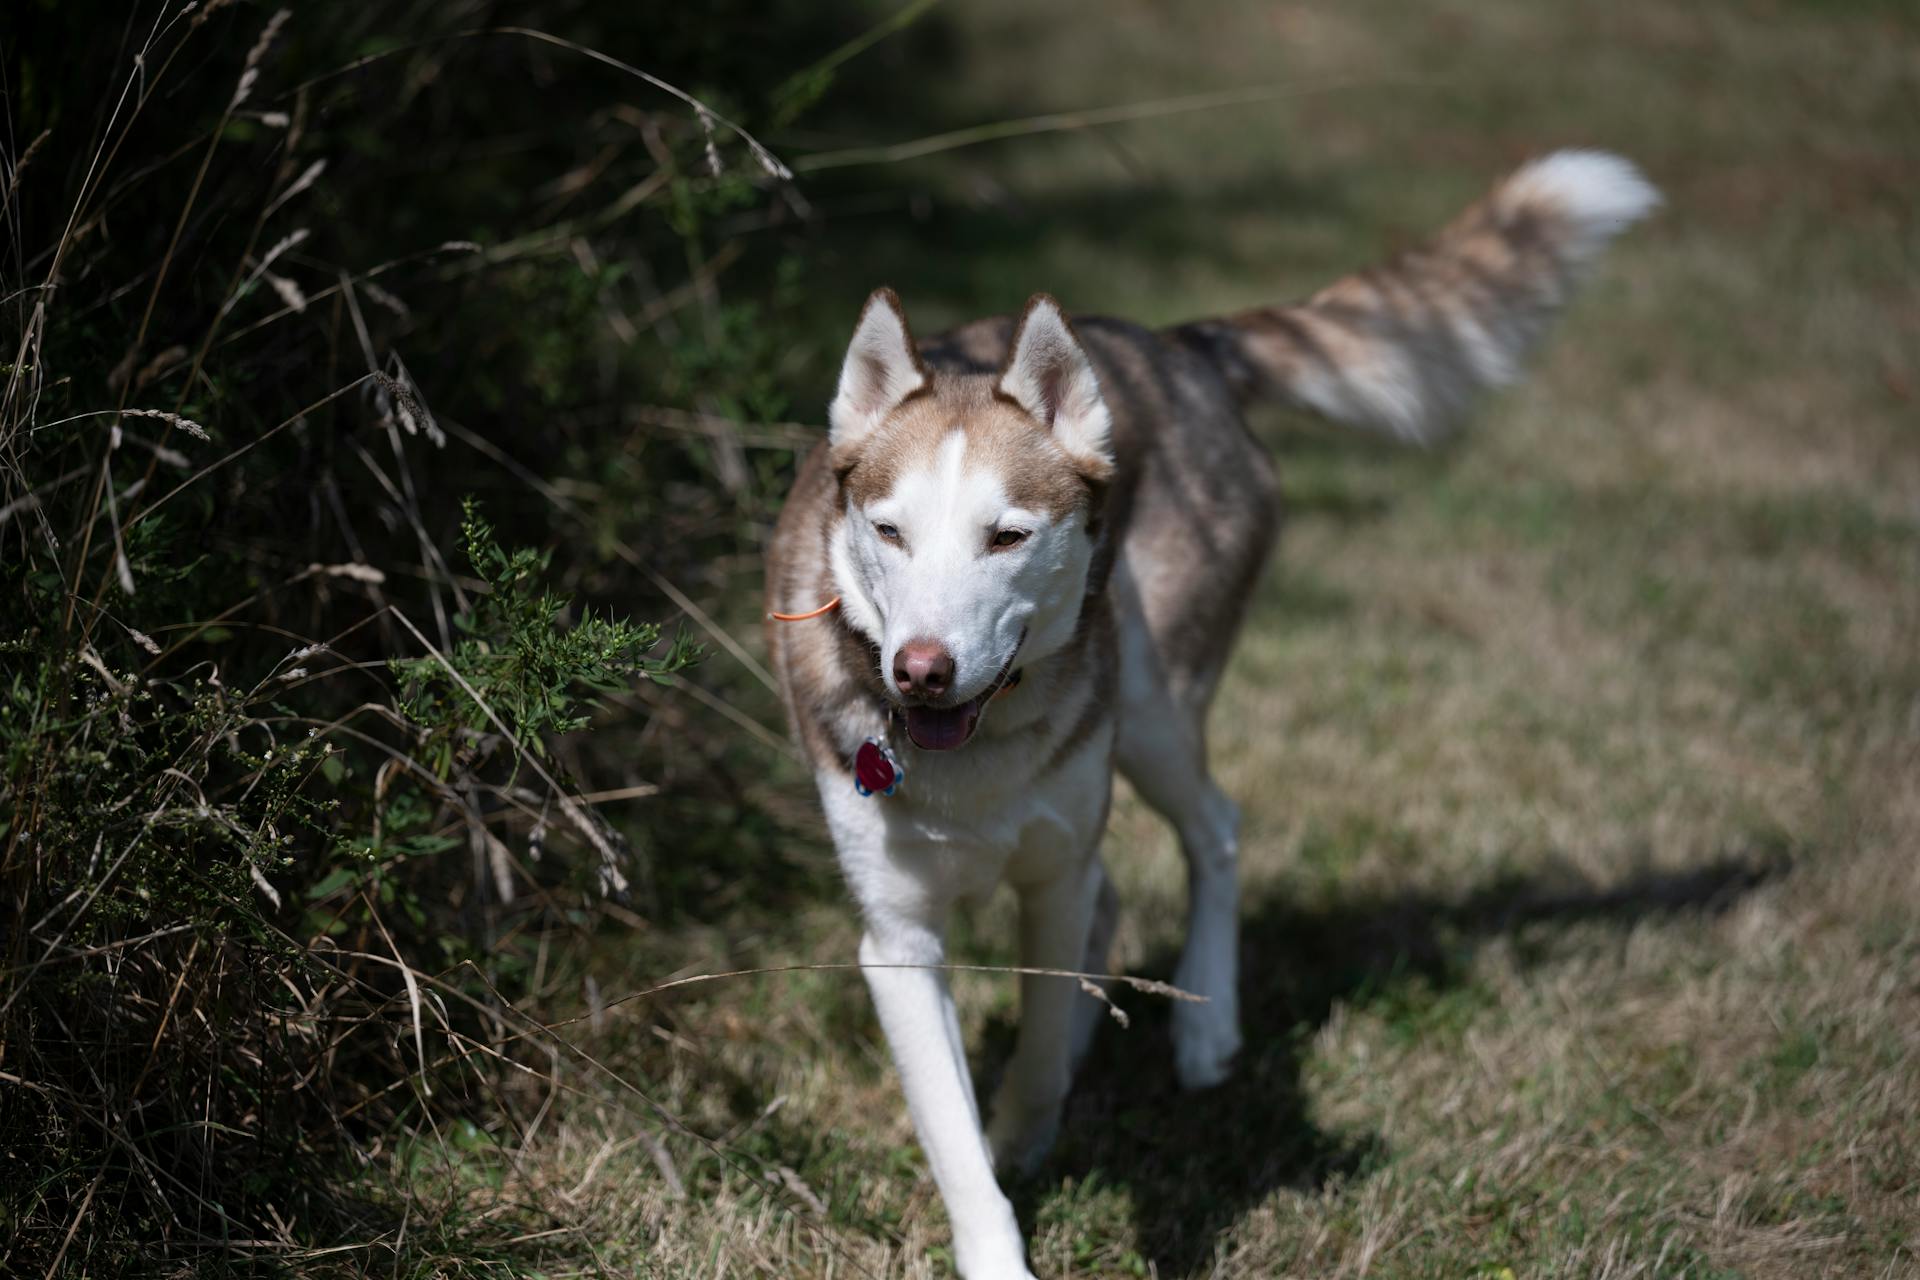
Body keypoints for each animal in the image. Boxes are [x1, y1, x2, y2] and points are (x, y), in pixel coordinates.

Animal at [760, 147, 1651, 1274]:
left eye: (1007, 536)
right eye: (888, 531)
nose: (921, 671)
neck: (976, 753)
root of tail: (1182, 344)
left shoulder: (1053, 869)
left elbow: (1040, 1040)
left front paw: (1027, 1122)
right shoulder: (898, 936)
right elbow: (955, 1136)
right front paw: (997, 1203)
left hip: (1150, 712)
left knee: (1214, 827)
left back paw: (1204, 1022)